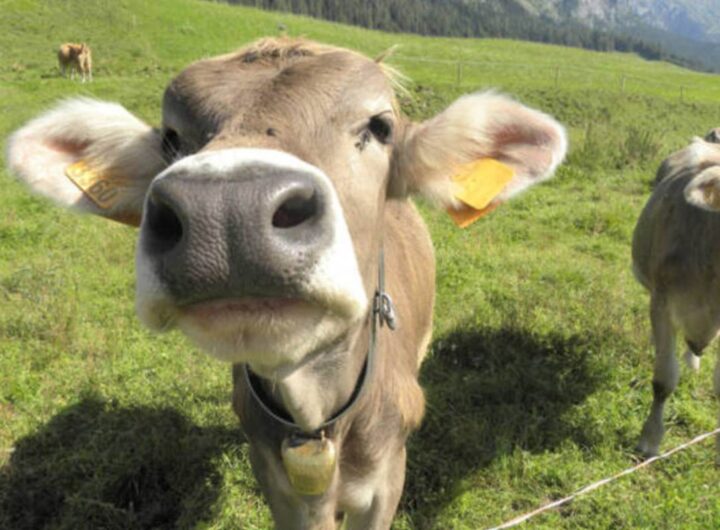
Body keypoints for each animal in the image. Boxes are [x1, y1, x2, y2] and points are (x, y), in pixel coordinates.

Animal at [7, 38, 567, 528]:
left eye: (380, 126)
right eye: (170, 136)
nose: (227, 210)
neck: (315, 413)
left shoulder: (388, 479)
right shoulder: (277, 483)